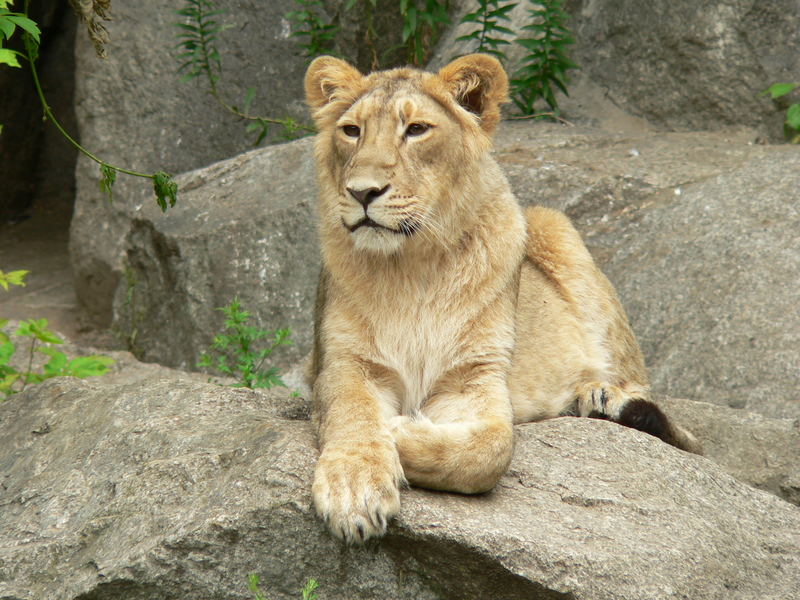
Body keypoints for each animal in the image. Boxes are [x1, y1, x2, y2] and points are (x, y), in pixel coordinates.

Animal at [304, 55, 696, 544]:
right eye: (351, 131)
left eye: (416, 129)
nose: (362, 192)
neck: (411, 267)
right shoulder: (342, 362)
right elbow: (353, 416)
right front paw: (355, 490)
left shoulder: (475, 375)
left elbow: (489, 450)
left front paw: (397, 428)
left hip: (554, 225)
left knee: (665, 412)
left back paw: (604, 396)